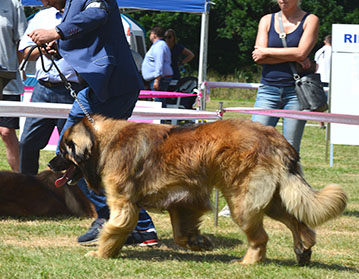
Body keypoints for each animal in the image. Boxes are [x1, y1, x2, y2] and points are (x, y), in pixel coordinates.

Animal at [48, 116, 348, 266]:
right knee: (298, 222)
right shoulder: (183, 200)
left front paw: (101, 254)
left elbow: (114, 228)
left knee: (261, 237)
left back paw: (248, 262)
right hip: (273, 197)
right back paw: (303, 249)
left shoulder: (124, 202)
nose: (50, 164)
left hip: (242, 200)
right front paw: (198, 242)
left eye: (63, 151)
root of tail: (277, 139)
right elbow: (181, 233)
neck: (102, 142)